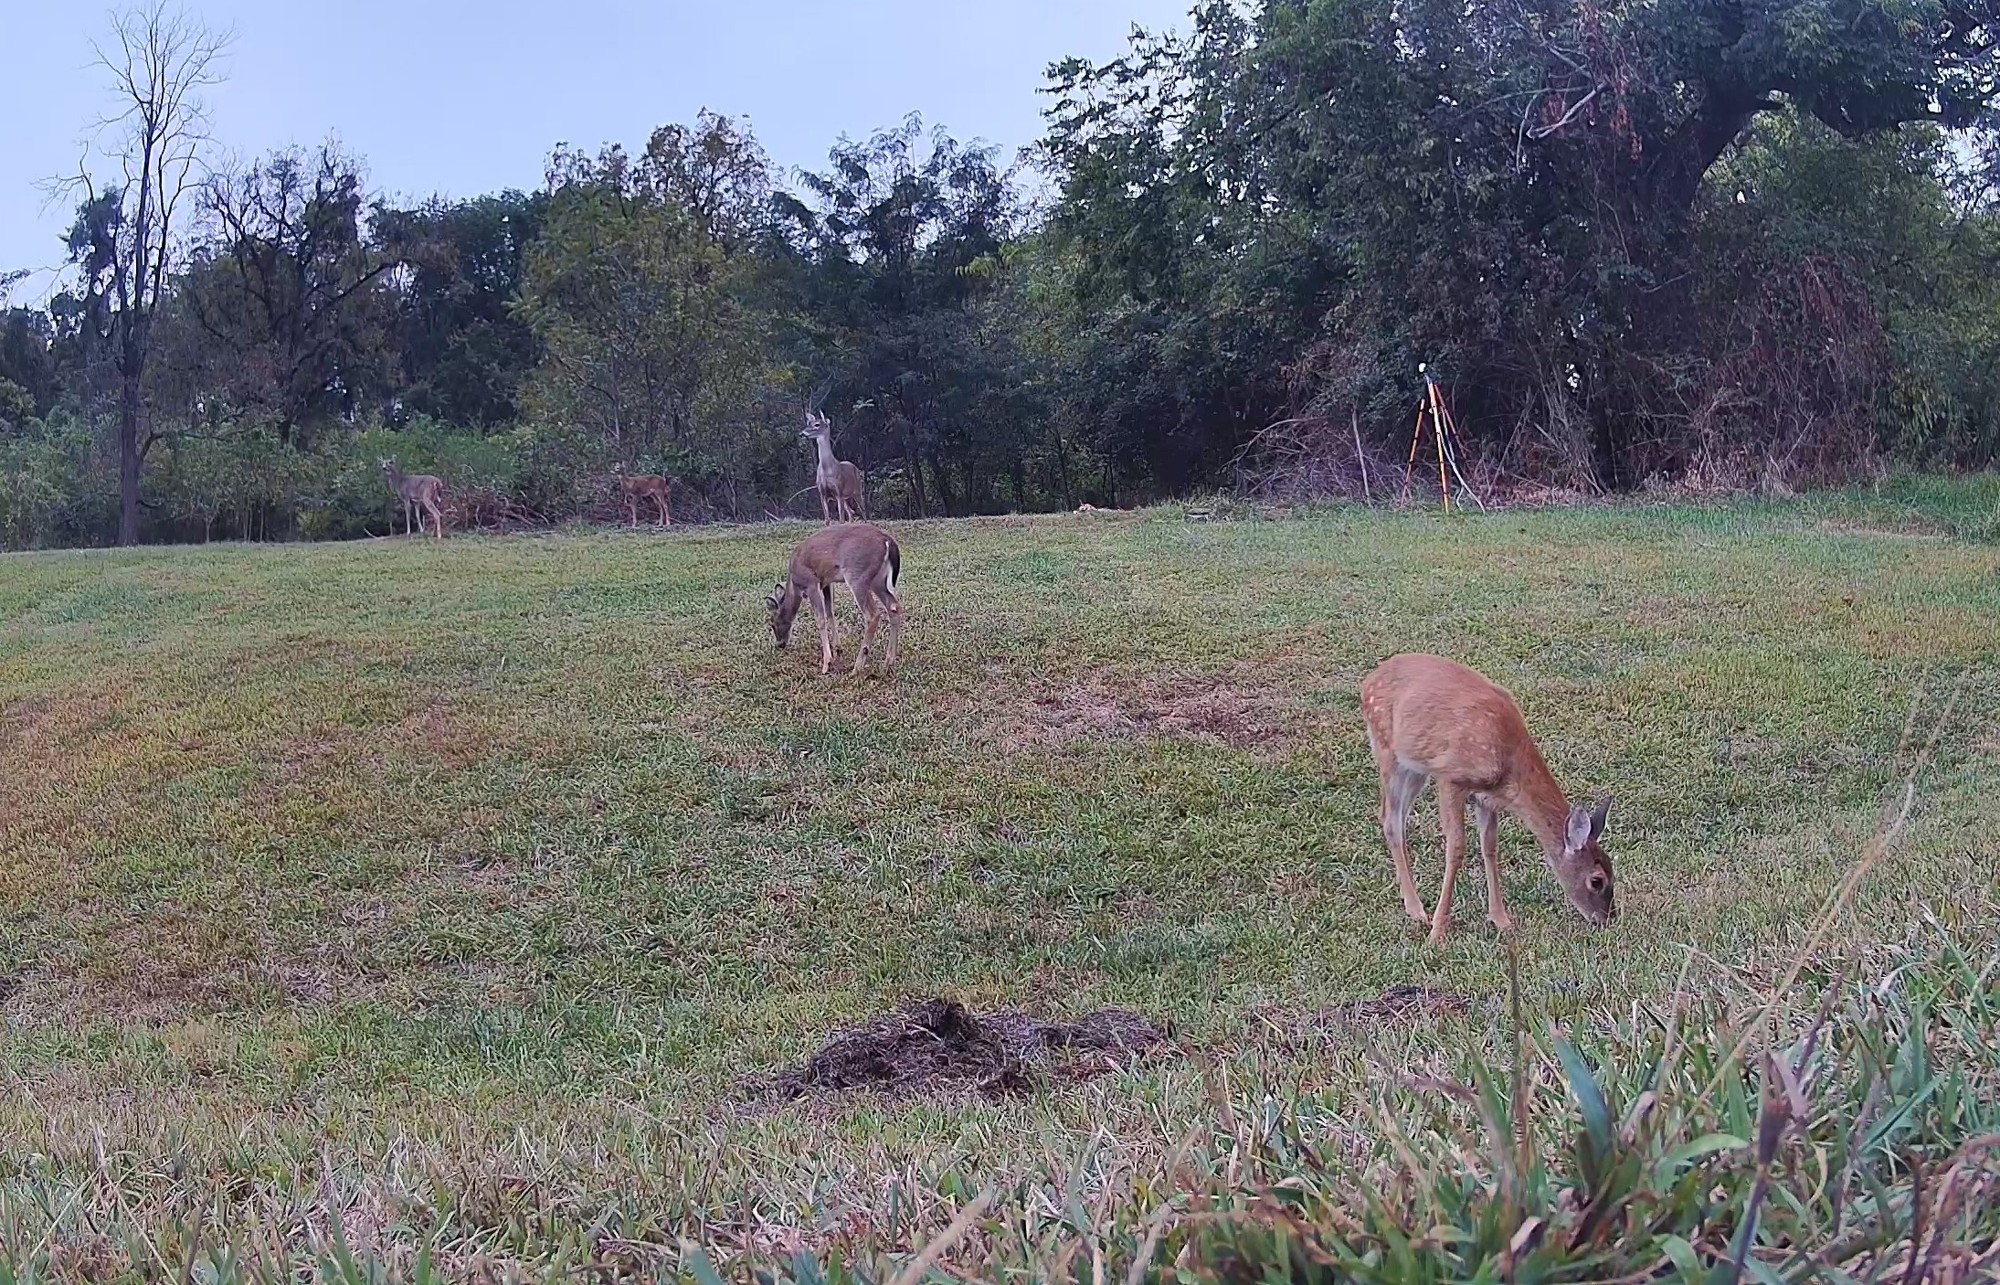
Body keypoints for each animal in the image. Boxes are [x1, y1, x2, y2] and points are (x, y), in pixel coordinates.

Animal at [766, 522, 902, 677]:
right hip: (878, 580)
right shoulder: (826, 582)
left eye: (772, 624)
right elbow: (830, 612)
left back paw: (857, 667)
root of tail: (887, 540)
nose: (780, 644)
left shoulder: (811, 583)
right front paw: (838, 649)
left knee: (873, 614)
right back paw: (889, 662)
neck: (795, 586)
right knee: (893, 606)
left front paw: (827, 663)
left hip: (857, 576)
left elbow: (820, 620)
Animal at [1359, 653, 1615, 947]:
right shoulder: (1451, 777)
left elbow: (1490, 846)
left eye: (1612, 869)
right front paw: (1438, 931)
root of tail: (1368, 680)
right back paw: (1416, 910)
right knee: (1390, 820)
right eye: (1596, 880)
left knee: (1394, 818)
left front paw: (1501, 920)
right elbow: (1457, 847)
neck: (1508, 765)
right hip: (1389, 751)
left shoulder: (1487, 797)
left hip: (1415, 766)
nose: (1607, 919)